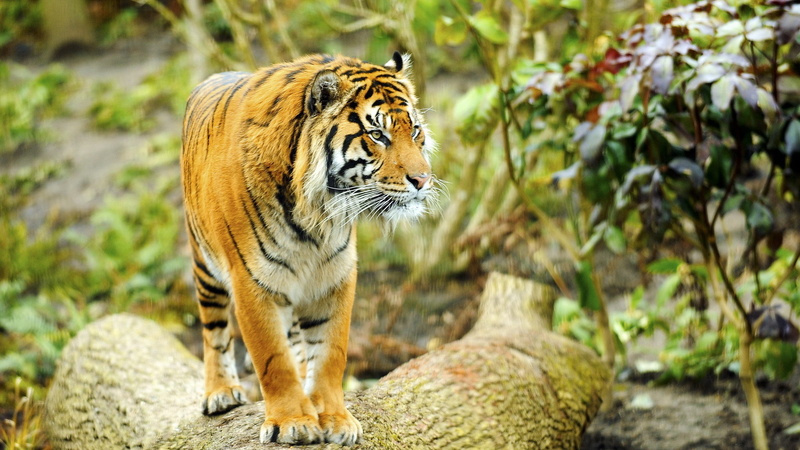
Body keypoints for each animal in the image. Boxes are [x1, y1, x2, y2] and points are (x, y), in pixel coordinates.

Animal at [180, 52, 436, 445]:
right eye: (377, 134)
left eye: (416, 131)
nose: (423, 180)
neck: (316, 213)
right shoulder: (251, 283)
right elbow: (273, 359)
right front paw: (293, 422)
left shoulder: (334, 276)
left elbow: (330, 353)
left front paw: (334, 419)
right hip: (204, 264)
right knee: (214, 330)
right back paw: (220, 392)